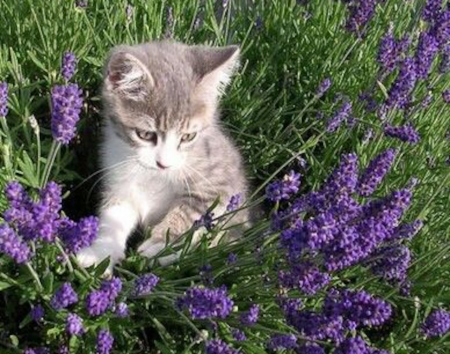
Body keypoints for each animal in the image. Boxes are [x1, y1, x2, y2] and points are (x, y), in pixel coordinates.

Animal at [75, 41, 248, 274]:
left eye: (188, 136)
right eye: (146, 135)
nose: (163, 163)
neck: (153, 175)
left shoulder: (220, 181)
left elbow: (191, 211)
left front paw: (160, 246)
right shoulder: (120, 184)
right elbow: (114, 217)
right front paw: (100, 253)